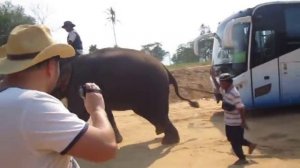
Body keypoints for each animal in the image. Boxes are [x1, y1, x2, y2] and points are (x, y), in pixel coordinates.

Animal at [52, 47, 199, 144]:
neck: (69, 60)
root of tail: (165, 67)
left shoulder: (79, 80)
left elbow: (78, 112)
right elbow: (106, 110)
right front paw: (116, 140)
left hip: (153, 89)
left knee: (155, 112)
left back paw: (168, 140)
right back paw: (164, 135)